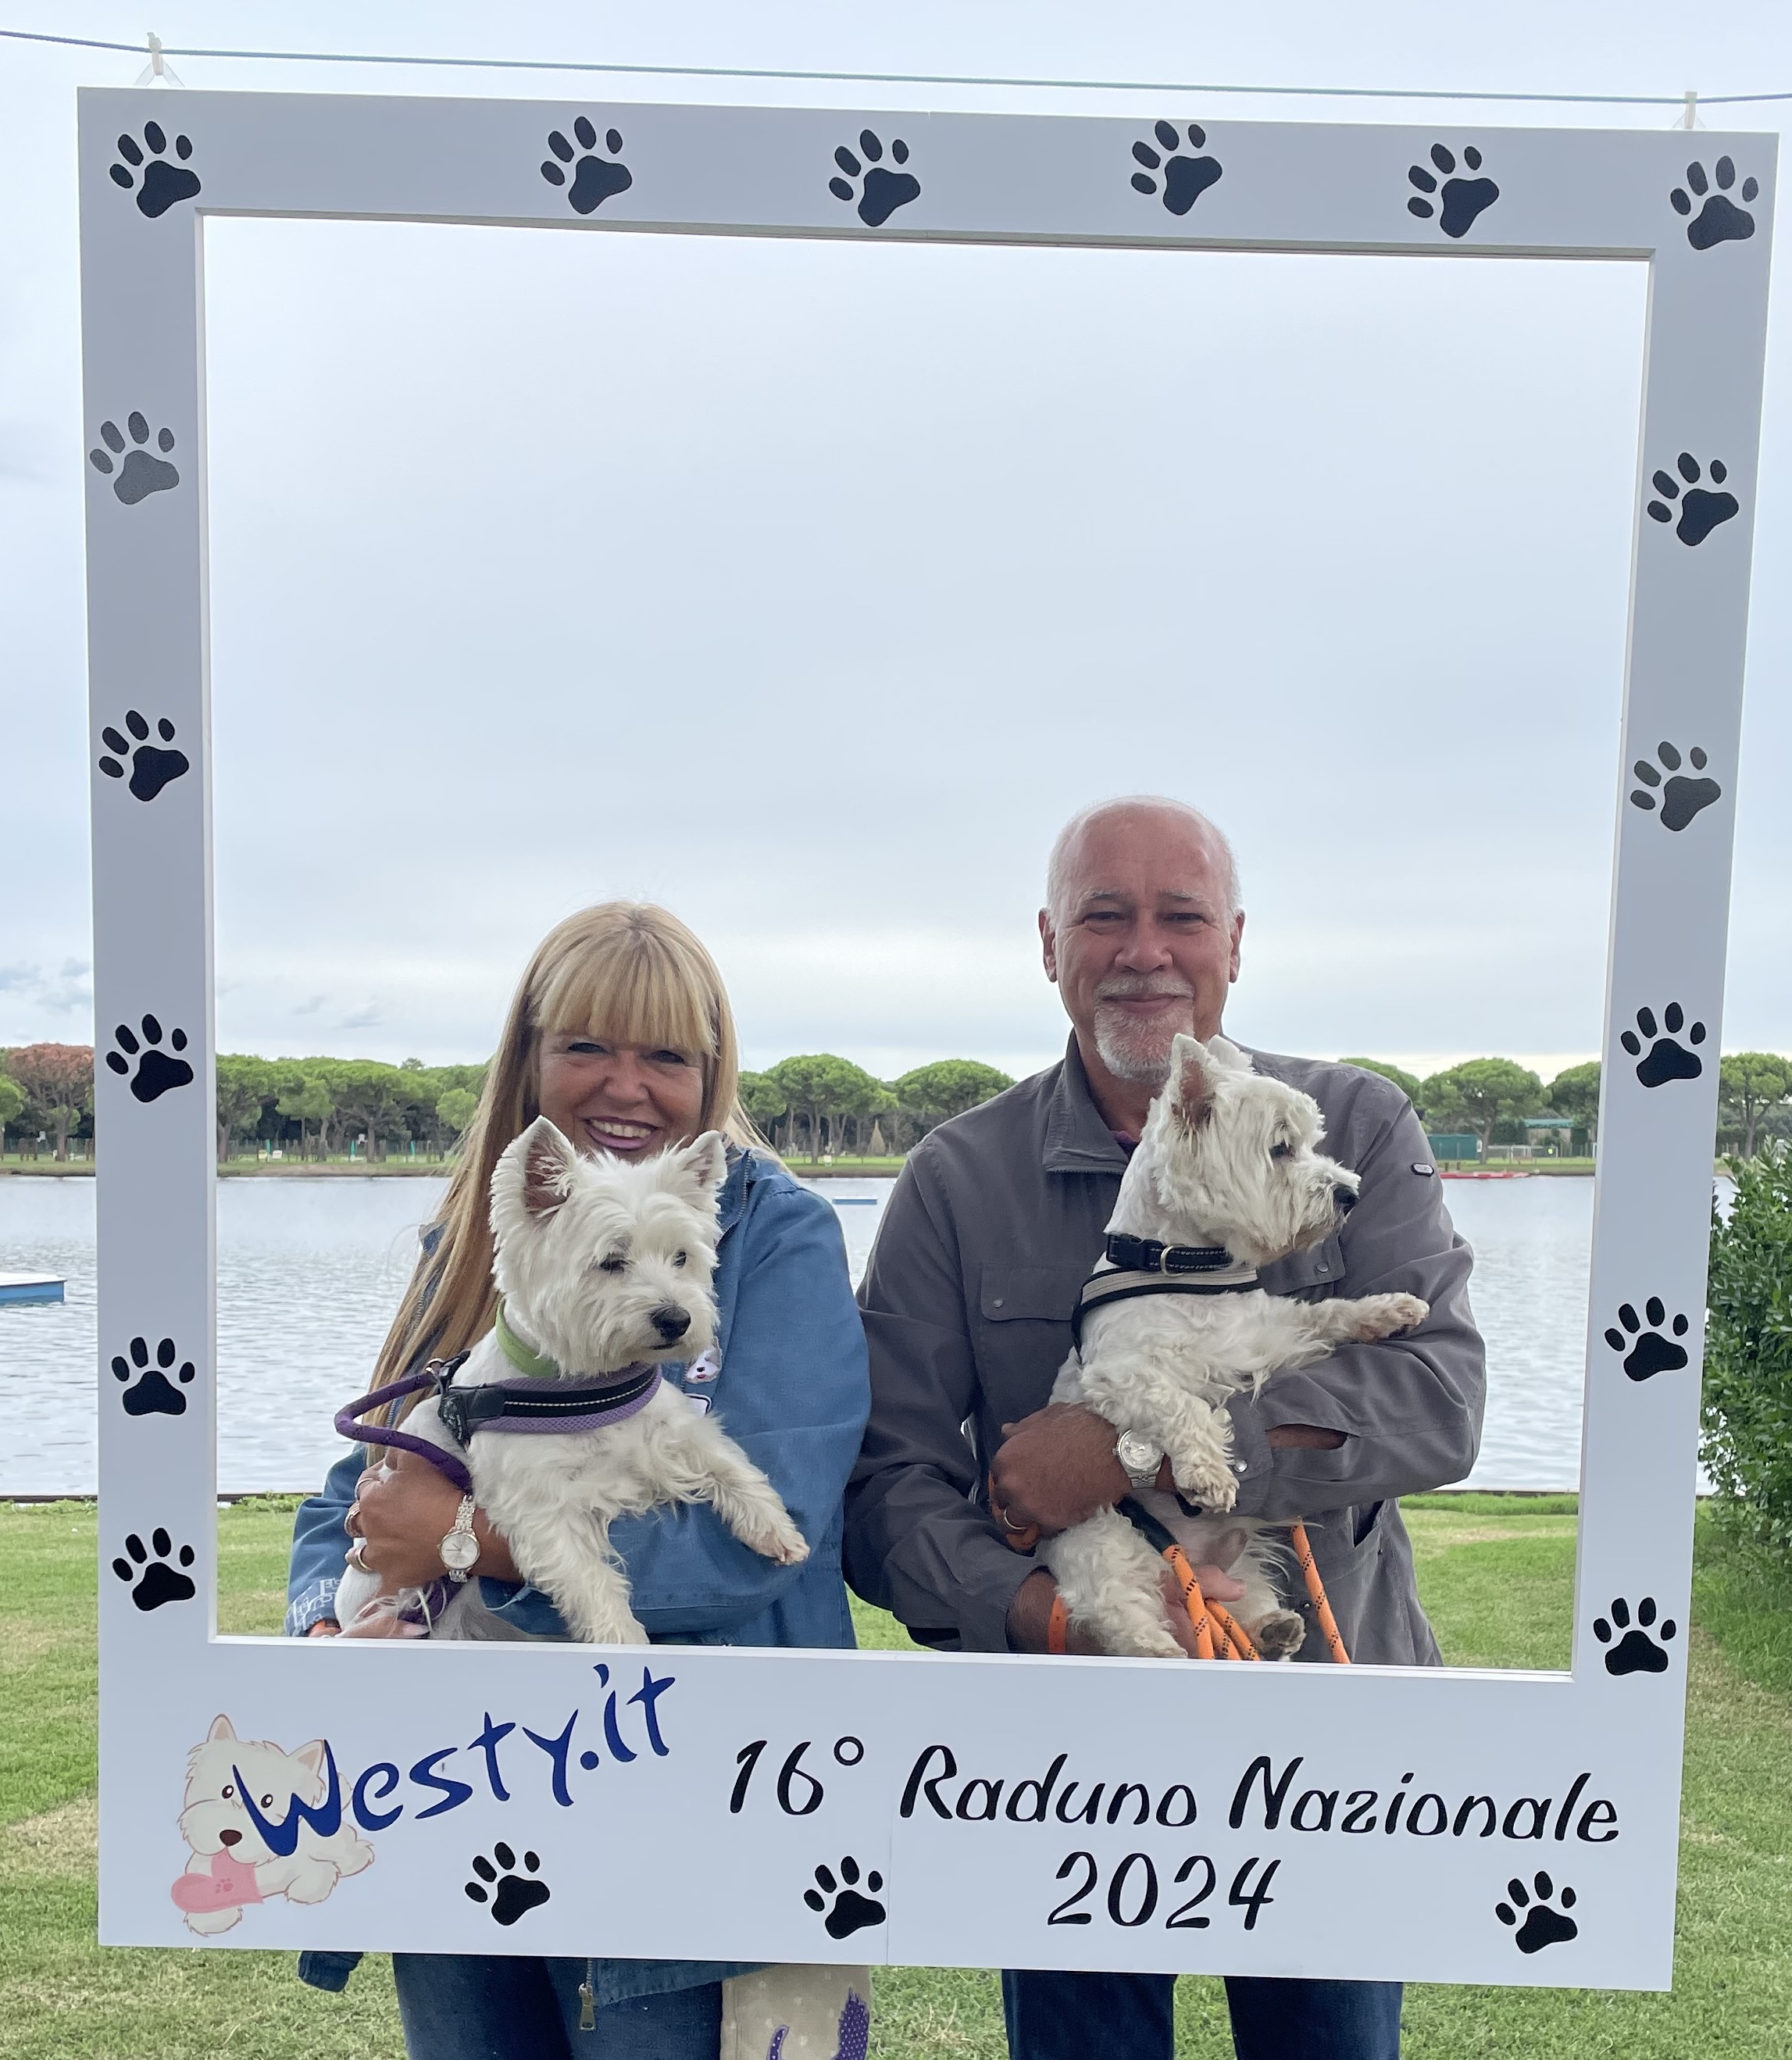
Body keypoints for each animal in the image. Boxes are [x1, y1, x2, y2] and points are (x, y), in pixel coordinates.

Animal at [335, 1129, 807, 1640]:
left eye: (682, 1257)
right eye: (611, 1261)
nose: (676, 1320)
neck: (583, 1387)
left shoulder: (672, 1432)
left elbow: (728, 1463)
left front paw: (777, 1529)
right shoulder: (542, 1508)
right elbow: (590, 1581)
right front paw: (624, 1640)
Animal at [1037, 1038, 1433, 1664]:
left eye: (1311, 1142)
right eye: (1280, 1148)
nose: (1350, 1192)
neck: (1182, 1266)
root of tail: (1189, 1559)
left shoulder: (1269, 1335)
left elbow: (1325, 1314)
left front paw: (1391, 1309)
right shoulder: (1122, 1373)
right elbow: (1180, 1406)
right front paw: (1208, 1472)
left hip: (1240, 1553)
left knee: (1244, 1596)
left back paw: (1274, 1630)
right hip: (1101, 1541)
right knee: (1116, 1608)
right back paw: (1162, 1650)